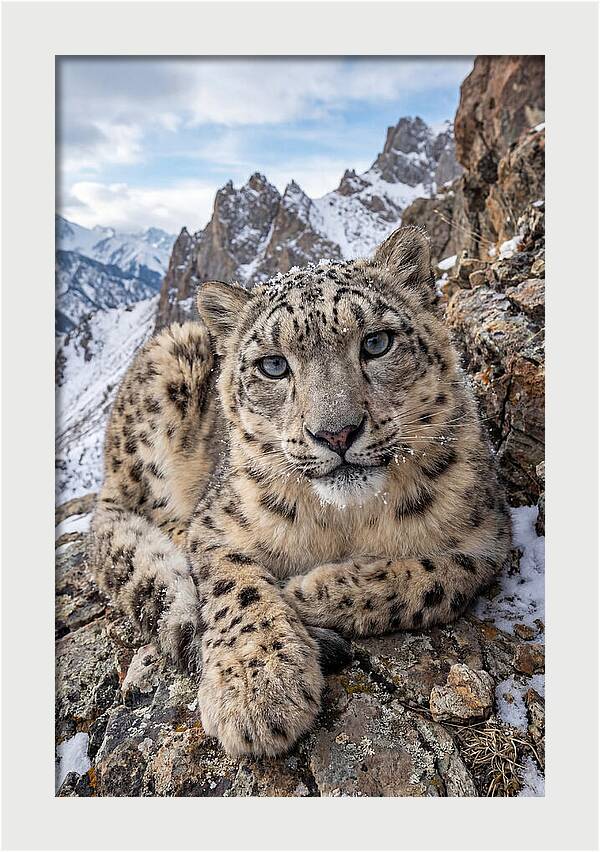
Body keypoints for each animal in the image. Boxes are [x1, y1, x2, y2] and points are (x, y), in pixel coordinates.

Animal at [89, 225, 511, 758]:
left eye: (377, 342)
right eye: (273, 365)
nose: (336, 433)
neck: (346, 520)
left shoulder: (488, 536)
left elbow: (435, 578)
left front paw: (307, 591)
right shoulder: (216, 525)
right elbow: (236, 587)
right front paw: (258, 689)